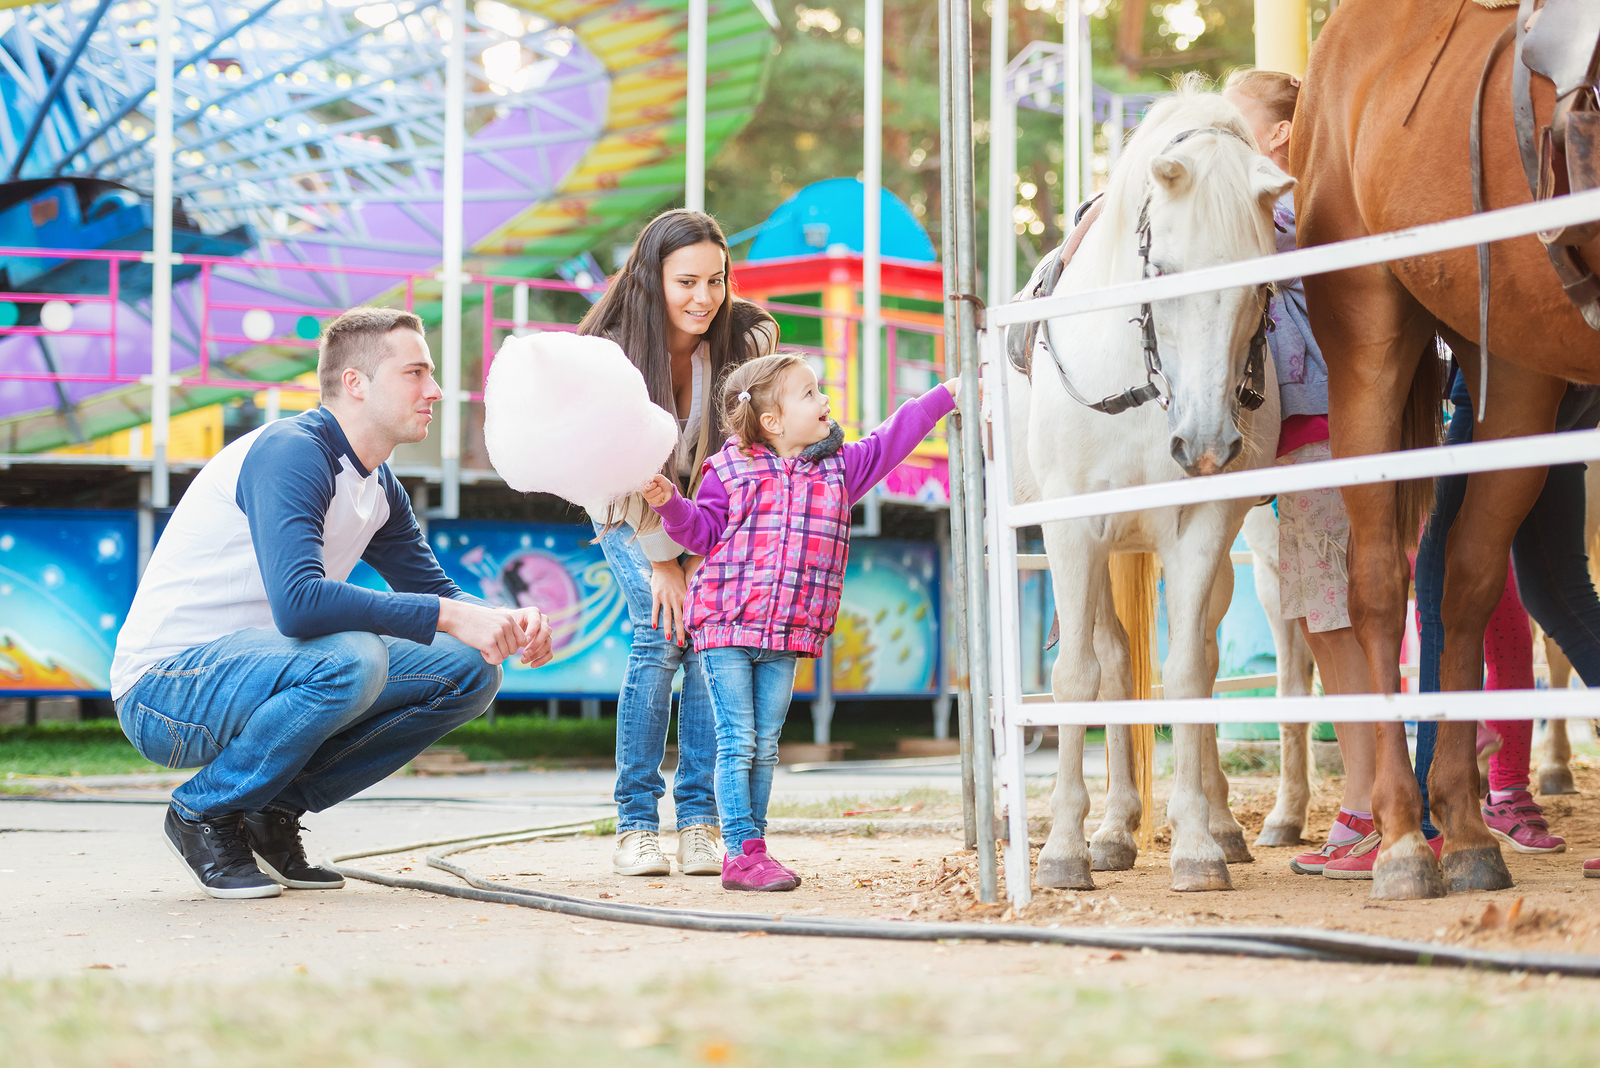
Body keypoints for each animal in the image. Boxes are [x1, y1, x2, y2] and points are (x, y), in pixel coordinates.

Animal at [1011, 83, 1299, 888]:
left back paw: (1215, 825)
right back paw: (1109, 830)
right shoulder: (1073, 531)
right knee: (1111, 665)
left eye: (1259, 284)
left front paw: (1198, 843)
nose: (1204, 443)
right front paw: (1064, 848)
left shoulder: (1201, 526)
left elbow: (1186, 675)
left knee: (1187, 656)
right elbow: (1075, 676)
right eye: (1165, 272)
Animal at [1292, 0, 1600, 901]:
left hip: (1521, 369)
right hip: (1367, 334)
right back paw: (1400, 837)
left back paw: (1463, 830)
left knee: (1464, 582)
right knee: (1378, 584)